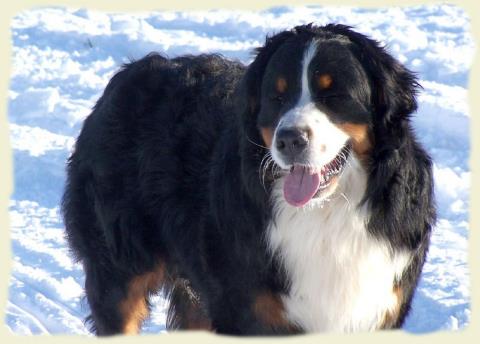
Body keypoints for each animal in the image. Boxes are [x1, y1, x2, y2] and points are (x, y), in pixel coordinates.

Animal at [62, 24, 436, 336]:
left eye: (335, 95)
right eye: (277, 96)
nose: (289, 139)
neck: (325, 215)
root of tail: (131, 72)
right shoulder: (249, 310)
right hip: (120, 270)